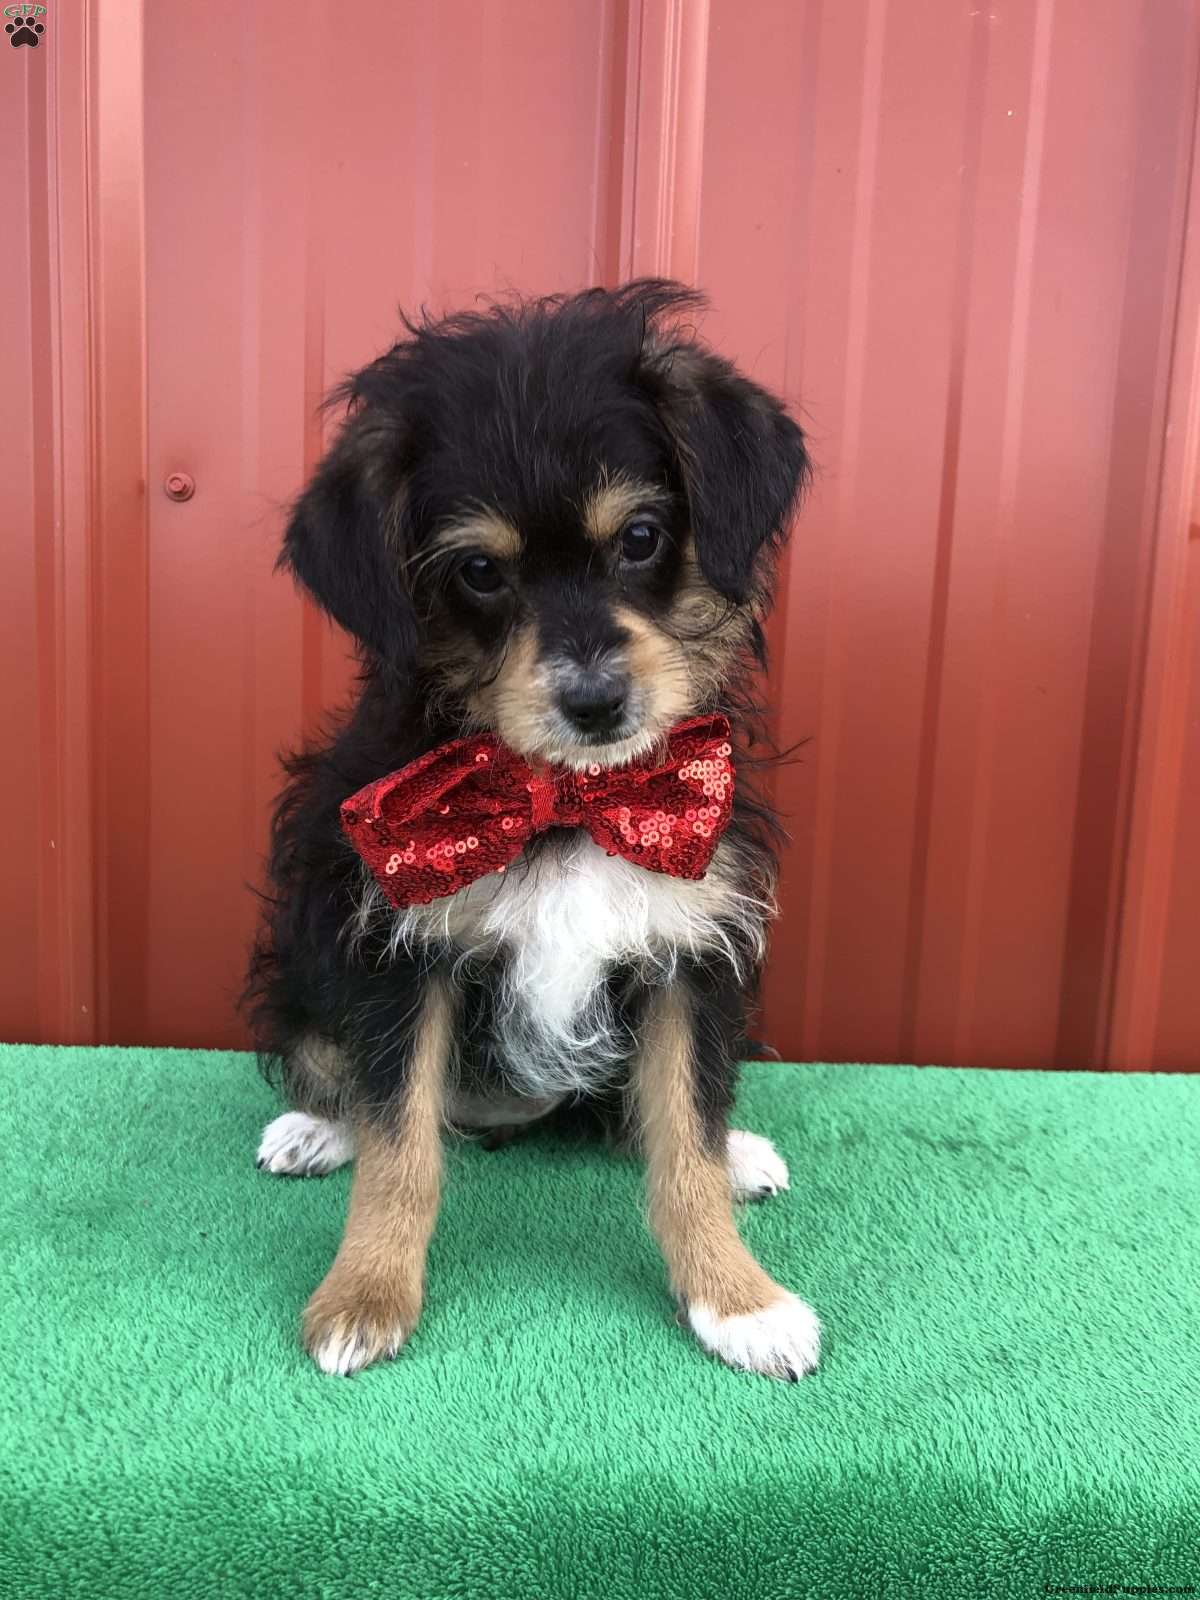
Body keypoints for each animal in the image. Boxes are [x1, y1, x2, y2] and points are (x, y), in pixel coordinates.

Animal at [246, 281, 820, 1380]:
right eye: (478, 569)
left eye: (640, 538)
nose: (595, 705)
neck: (566, 800)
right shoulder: (399, 947)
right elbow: (400, 1144)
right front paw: (363, 1293)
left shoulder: (692, 949)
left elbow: (685, 1136)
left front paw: (738, 1299)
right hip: (302, 937)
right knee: (340, 1072)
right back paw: (314, 1129)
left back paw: (745, 1155)